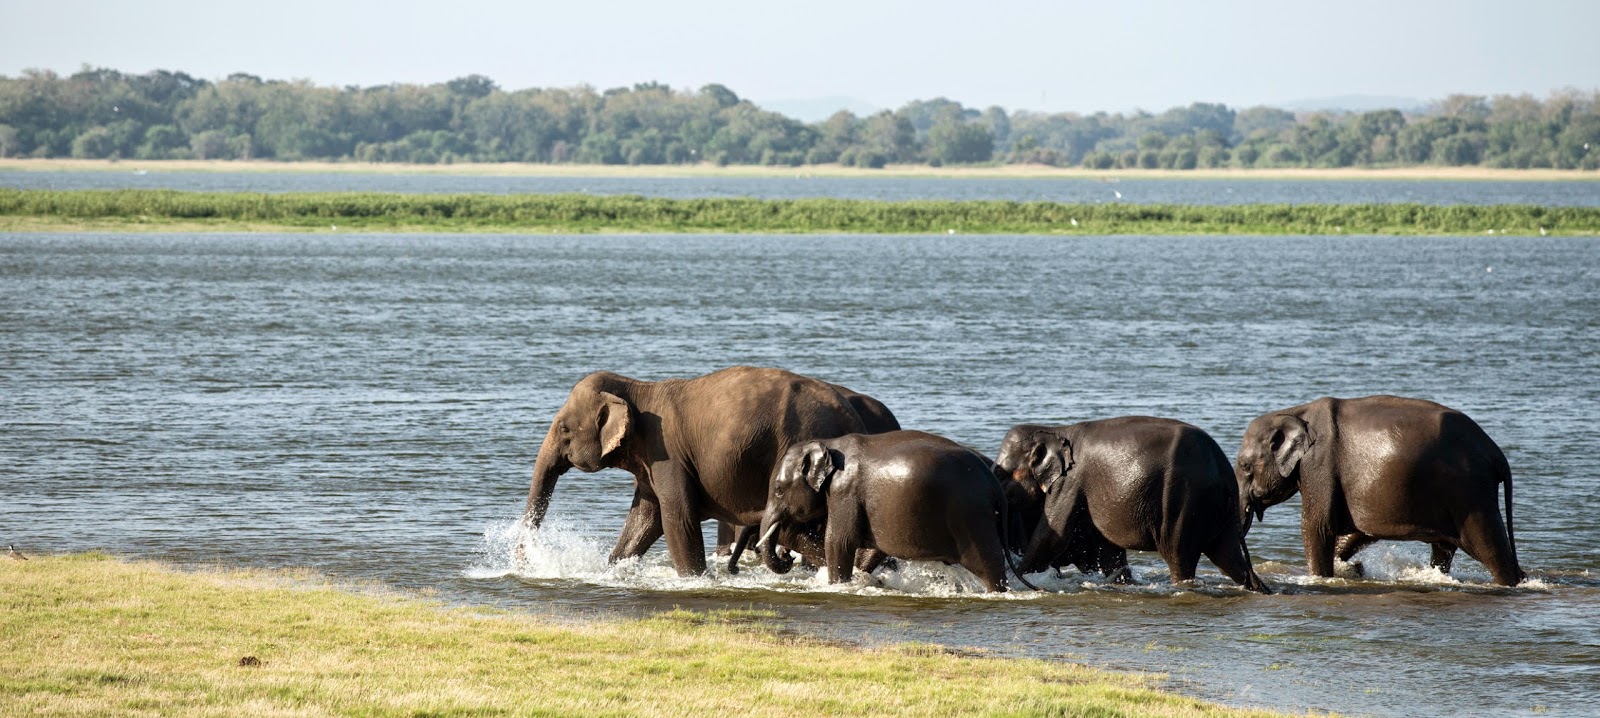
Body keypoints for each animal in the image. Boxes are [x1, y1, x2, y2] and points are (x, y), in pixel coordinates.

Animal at [531, 366, 896, 572]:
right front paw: (614, 569)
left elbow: (677, 519)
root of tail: (852, 417)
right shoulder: (651, 461)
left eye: (564, 429)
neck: (637, 388)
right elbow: (644, 519)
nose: (525, 558)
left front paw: (694, 579)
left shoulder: (667, 453)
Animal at [752, 428, 1024, 591]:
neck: (828, 443)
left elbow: (839, 541)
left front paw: (837, 586)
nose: (786, 557)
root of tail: (993, 482)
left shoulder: (844, 491)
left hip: (971, 515)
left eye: (778, 490)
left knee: (988, 563)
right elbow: (872, 550)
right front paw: (863, 577)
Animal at [992, 415, 1267, 594]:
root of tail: (1224, 469)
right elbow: (1109, 552)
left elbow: (1051, 537)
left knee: (1180, 555)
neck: (1055, 429)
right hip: (1217, 509)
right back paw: (1257, 589)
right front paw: (1121, 583)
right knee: (1228, 556)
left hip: (1185, 500)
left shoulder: (1069, 482)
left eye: (1002, 475)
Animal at [1235, 394, 1523, 585]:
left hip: (1471, 494)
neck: (1295, 412)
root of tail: (1497, 455)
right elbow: (1357, 532)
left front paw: (1322, 578)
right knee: (1444, 548)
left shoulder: (1319, 465)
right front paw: (1349, 569)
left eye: (1244, 466)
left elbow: (1317, 526)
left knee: (1490, 549)